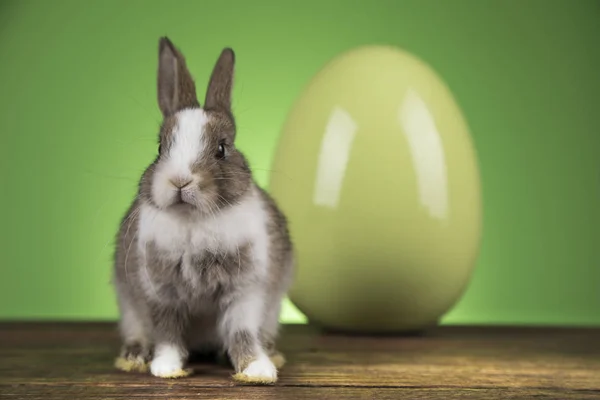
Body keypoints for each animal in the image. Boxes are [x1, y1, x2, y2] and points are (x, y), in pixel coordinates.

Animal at [112, 37, 296, 384]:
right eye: (160, 148)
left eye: (222, 149)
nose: (179, 180)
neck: (194, 220)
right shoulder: (161, 291)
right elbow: (168, 332)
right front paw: (167, 369)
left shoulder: (245, 290)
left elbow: (241, 331)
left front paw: (256, 370)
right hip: (129, 308)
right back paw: (132, 357)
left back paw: (271, 353)